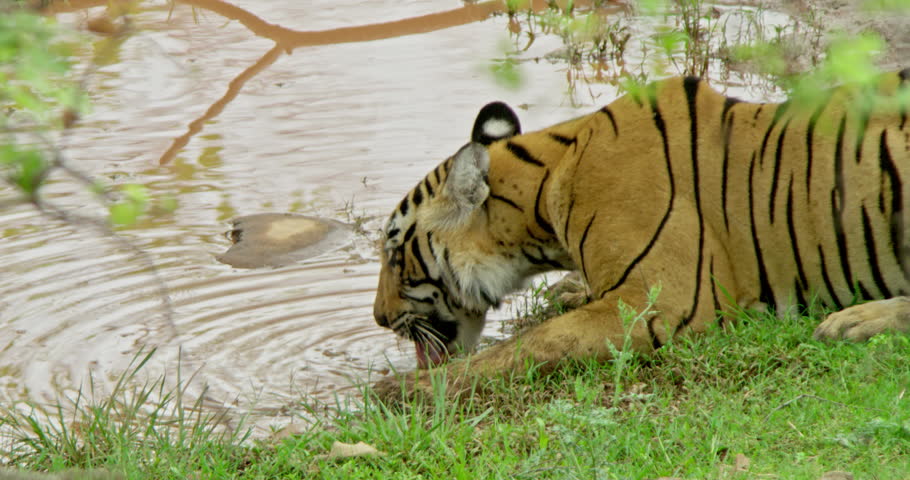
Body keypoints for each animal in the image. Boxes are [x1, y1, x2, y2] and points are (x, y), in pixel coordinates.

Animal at [372, 71, 910, 395]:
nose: (379, 318)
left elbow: (537, 341)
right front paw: (571, 289)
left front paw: (404, 392)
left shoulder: (661, 301)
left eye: (396, 253)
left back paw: (854, 321)